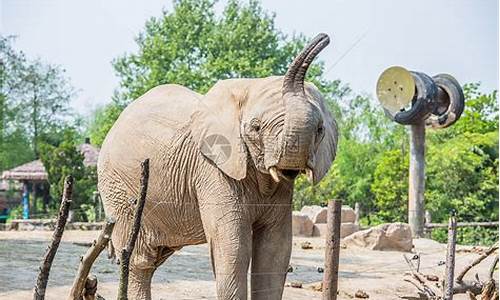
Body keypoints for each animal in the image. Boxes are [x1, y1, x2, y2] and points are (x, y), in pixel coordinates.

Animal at [96, 33, 340, 300]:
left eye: (320, 130)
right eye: (255, 127)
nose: (324, 37)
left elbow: (276, 247)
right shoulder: (212, 170)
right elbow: (233, 246)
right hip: (118, 190)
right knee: (137, 259)